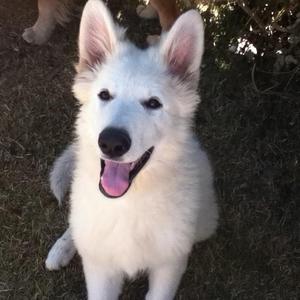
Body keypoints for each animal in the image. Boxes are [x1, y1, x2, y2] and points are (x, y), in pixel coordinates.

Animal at [45, 1, 218, 298]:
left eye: (153, 103)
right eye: (104, 95)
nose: (112, 143)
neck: (127, 203)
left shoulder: (169, 266)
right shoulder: (101, 272)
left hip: (205, 223)